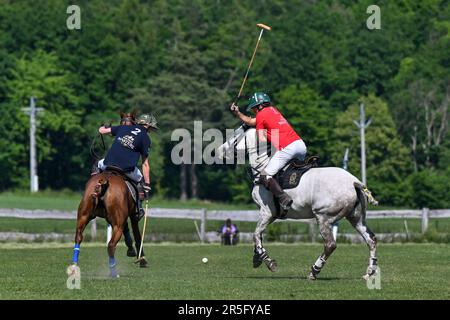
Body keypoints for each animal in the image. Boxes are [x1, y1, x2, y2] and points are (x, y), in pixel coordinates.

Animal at [216, 125, 378, 280]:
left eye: (234, 136)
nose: (218, 151)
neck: (263, 166)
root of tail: (354, 182)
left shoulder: (266, 211)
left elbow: (255, 234)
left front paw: (269, 262)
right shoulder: (272, 214)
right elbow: (259, 235)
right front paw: (257, 258)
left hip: (323, 217)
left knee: (330, 244)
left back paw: (314, 272)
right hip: (356, 217)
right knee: (371, 240)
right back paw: (370, 273)